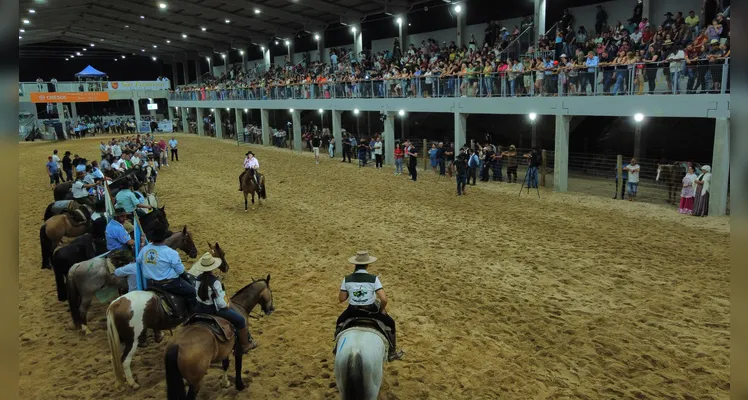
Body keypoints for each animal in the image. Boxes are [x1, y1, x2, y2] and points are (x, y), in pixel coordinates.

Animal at [66, 227, 199, 336]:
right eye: (187, 240)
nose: (195, 253)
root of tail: (77, 265)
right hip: (87, 295)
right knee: (82, 310)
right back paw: (86, 329)